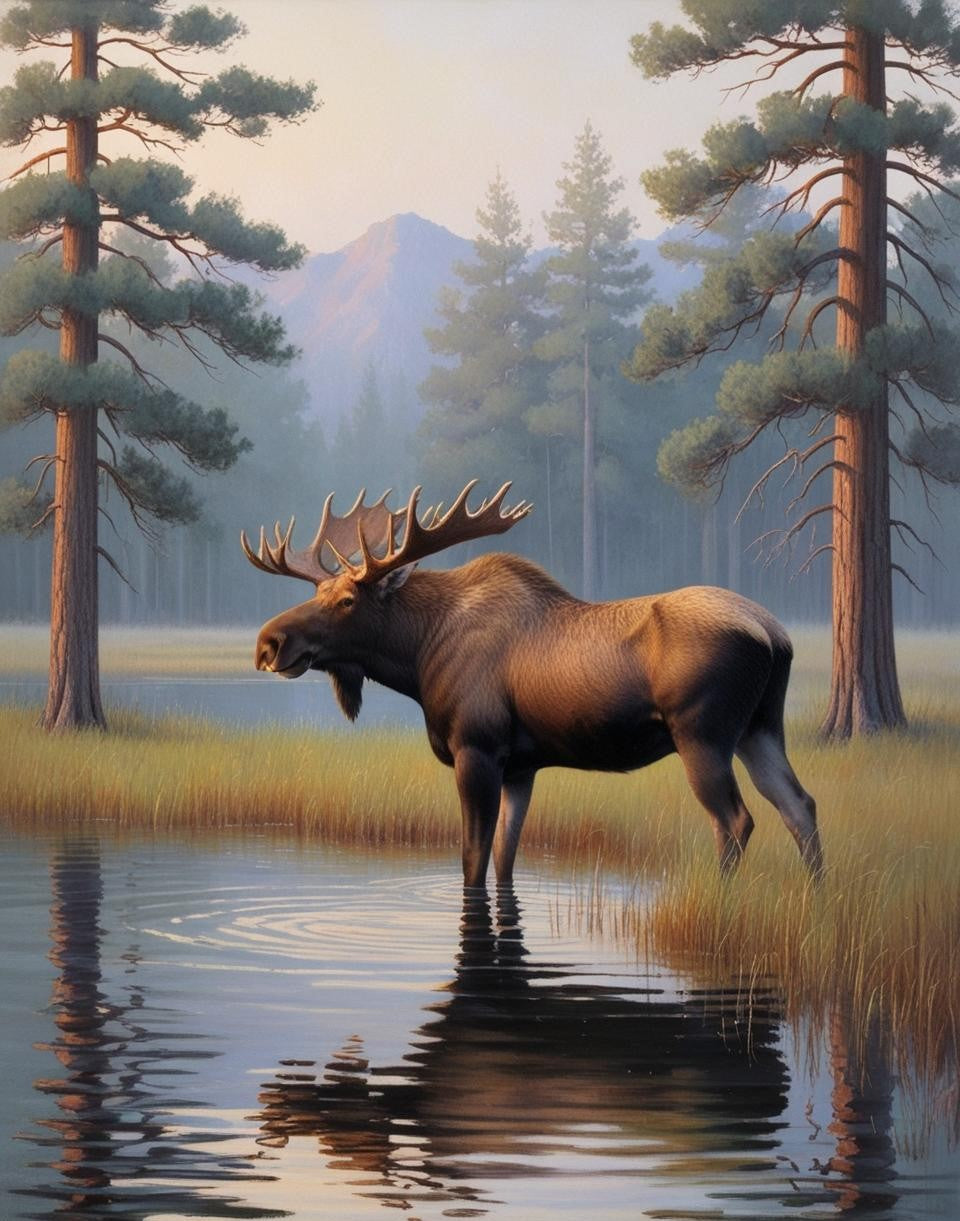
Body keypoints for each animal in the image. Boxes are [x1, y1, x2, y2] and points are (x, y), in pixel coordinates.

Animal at [242, 481, 823, 889]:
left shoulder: (476, 748)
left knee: (736, 820)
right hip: (760, 729)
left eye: (345, 601)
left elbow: (473, 861)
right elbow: (505, 859)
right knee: (800, 806)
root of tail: (775, 636)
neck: (419, 656)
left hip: (702, 734)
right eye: (318, 593)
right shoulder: (521, 766)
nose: (268, 643)